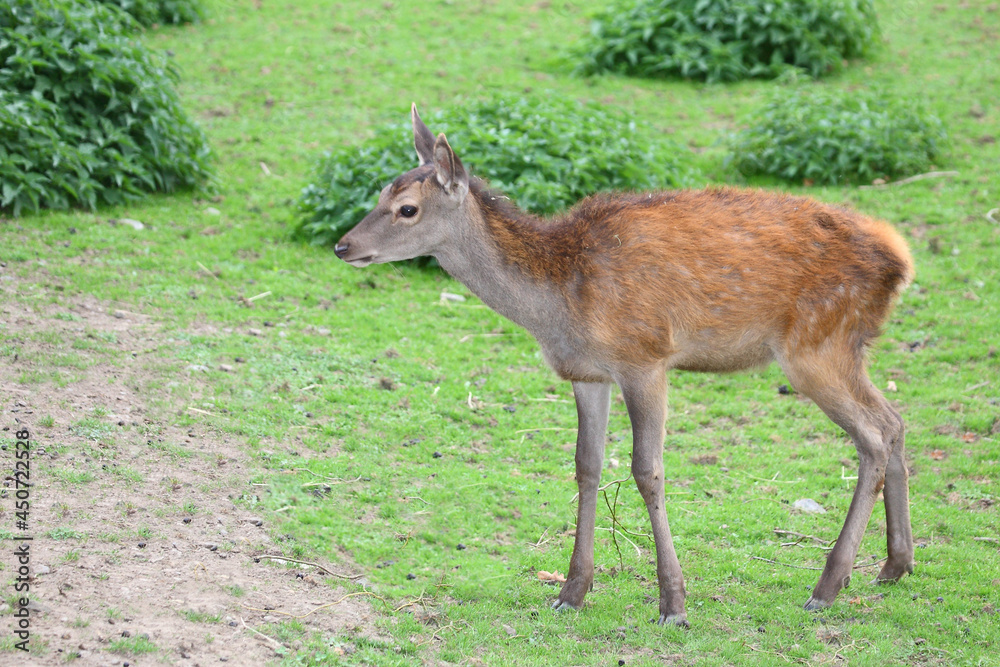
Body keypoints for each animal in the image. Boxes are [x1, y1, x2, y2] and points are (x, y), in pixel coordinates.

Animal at [334, 104, 916, 628]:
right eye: (381, 193)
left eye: (407, 208)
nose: (343, 245)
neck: (558, 302)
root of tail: (901, 260)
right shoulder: (588, 374)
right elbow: (587, 465)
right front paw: (571, 592)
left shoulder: (646, 359)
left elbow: (646, 470)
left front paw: (674, 604)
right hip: (845, 348)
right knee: (894, 420)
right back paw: (895, 564)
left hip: (814, 346)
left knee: (872, 435)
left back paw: (827, 586)